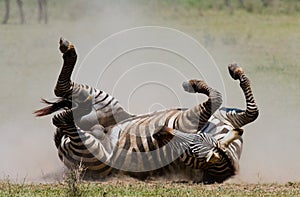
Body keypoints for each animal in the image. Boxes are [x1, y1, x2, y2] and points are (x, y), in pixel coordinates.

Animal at [35, 38, 258, 183]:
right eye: (193, 141)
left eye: (187, 151)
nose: (159, 132)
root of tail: (62, 147)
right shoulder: (226, 118)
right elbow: (251, 112)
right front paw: (233, 71)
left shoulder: (185, 121)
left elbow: (219, 98)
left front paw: (193, 84)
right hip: (111, 107)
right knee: (69, 99)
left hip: (93, 150)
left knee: (63, 114)